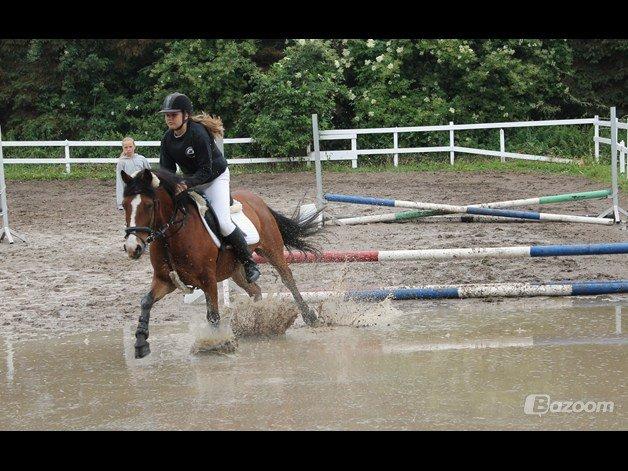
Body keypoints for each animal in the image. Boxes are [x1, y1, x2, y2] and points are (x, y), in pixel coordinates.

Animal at [121, 170, 324, 358]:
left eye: (148, 205)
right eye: (123, 205)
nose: (132, 248)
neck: (172, 235)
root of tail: (257, 200)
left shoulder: (208, 280)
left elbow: (213, 315)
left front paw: (215, 344)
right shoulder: (165, 280)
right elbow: (146, 301)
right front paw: (140, 342)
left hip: (272, 250)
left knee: (288, 279)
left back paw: (309, 316)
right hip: (236, 270)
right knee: (255, 290)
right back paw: (255, 321)